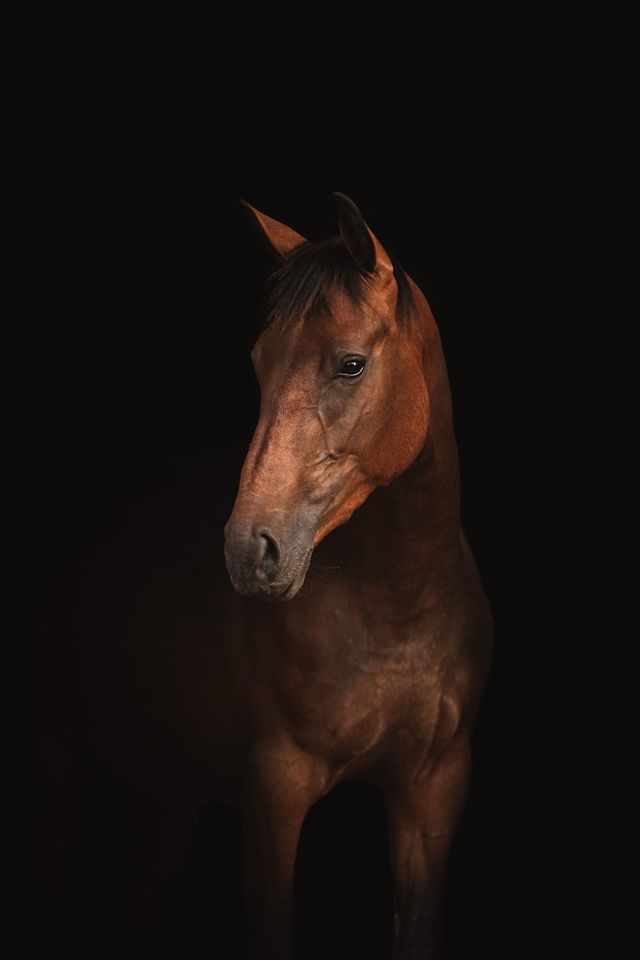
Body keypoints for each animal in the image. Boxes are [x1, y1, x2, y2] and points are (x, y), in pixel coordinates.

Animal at [31, 193, 492, 958]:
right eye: (258, 362)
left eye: (351, 364)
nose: (250, 551)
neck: (396, 608)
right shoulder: (275, 790)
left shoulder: (434, 789)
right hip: (64, 766)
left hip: (164, 794)